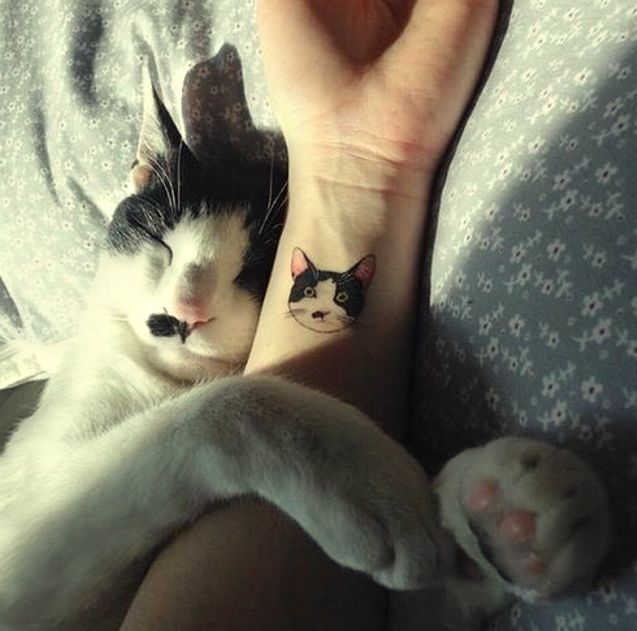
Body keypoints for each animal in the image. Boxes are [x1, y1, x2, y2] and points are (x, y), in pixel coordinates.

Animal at [0, 72, 612, 631]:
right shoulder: (29, 515)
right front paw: (367, 478)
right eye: (161, 241)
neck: (165, 384)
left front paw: (504, 517)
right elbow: (224, 405)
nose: (184, 312)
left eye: (256, 269)